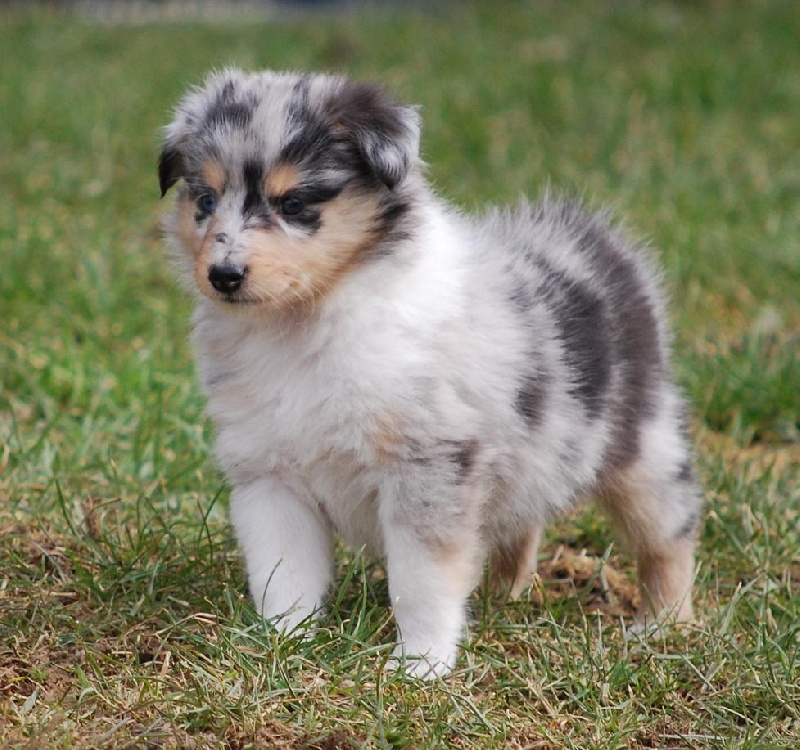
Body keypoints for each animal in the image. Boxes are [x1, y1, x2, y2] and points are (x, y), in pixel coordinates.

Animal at [158, 69, 700, 680]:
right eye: (205, 200)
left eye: (294, 203)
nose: (223, 275)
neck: (304, 324)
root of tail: (598, 243)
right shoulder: (269, 474)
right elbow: (283, 572)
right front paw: (282, 644)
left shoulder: (428, 464)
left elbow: (420, 582)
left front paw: (420, 666)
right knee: (520, 523)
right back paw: (501, 598)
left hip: (644, 447)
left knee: (669, 536)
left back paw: (663, 624)